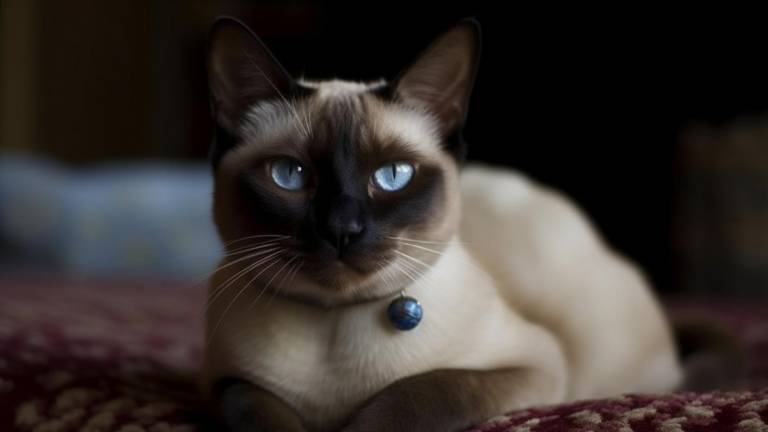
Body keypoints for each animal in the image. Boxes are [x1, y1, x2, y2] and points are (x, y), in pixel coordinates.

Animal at [201, 16, 680, 432]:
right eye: (290, 175)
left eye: (393, 176)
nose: (342, 229)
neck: (334, 325)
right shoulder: (225, 384)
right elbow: (254, 406)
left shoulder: (533, 366)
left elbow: (425, 389)